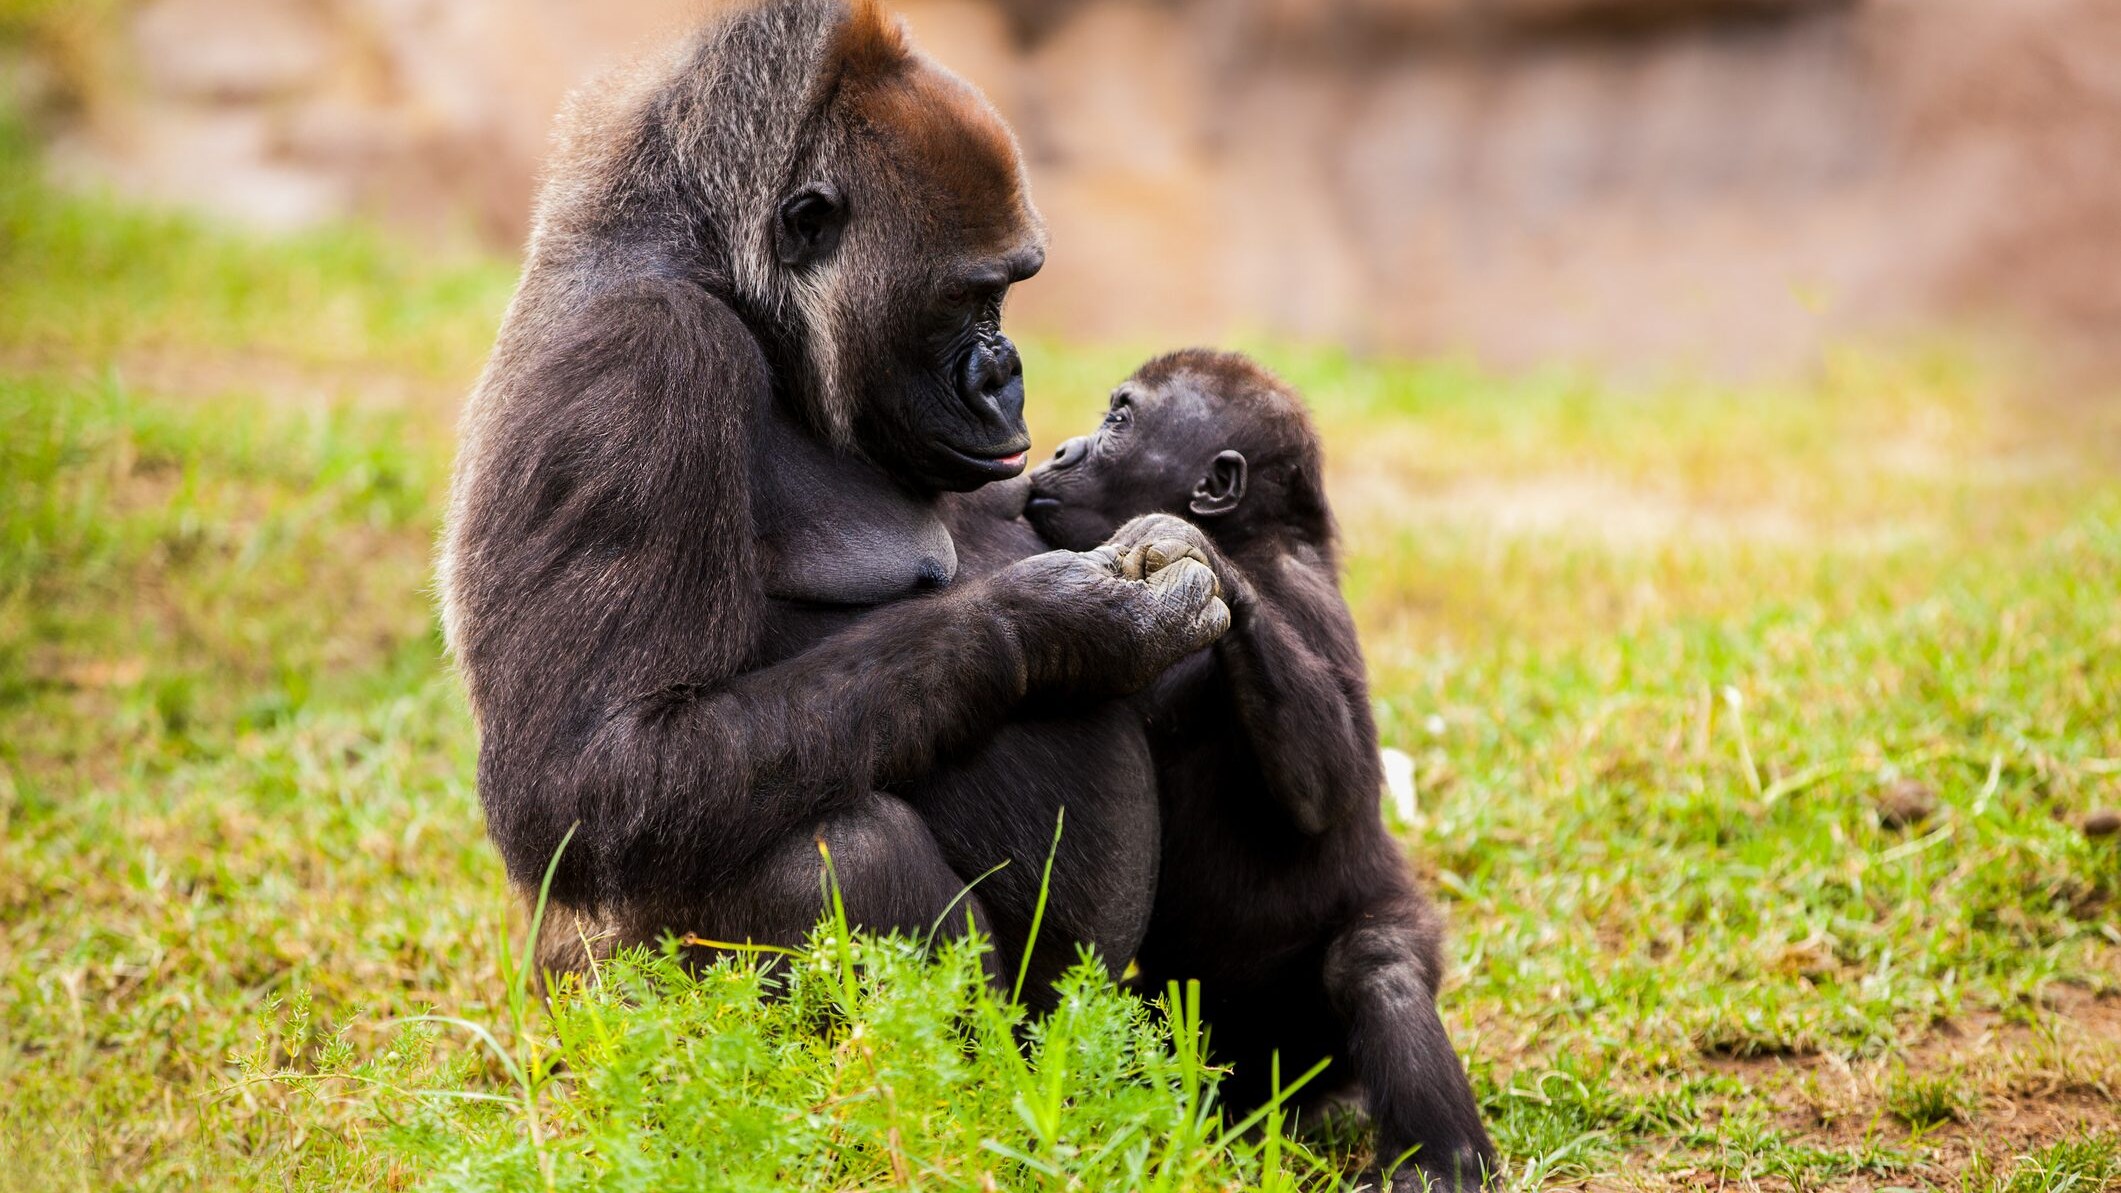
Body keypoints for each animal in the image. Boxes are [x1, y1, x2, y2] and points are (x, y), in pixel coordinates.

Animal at [437, 0, 1228, 1006]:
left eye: (1010, 293)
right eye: (970, 295)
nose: (1006, 375)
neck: (736, 291)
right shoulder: (643, 359)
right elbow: (591, 776)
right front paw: (1068, 621)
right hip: (595, 997)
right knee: (833, 854)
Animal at [1022, 349, 1497, 1190]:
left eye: (1118, 420)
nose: (1060, 449)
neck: (1250, 532)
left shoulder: (1306, 602)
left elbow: (1332, 780)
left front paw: (1202, 560)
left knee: (1374, 963)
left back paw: (1440, 1160)